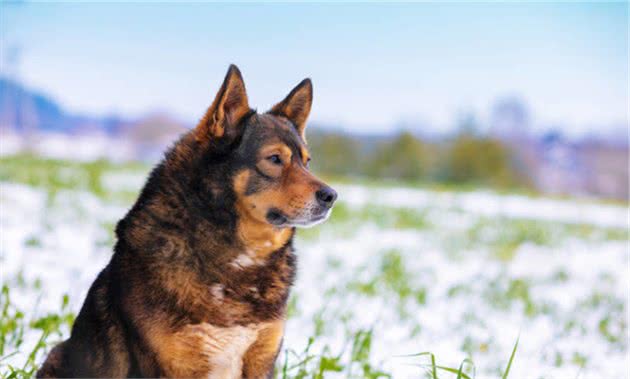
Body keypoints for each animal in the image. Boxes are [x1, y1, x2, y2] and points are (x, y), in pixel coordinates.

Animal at [37, 63, 338, 378]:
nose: (331, 196)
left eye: (307, 161)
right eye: (275, 159)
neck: (236, 262)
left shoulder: (262, 359)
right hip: (57, 354)